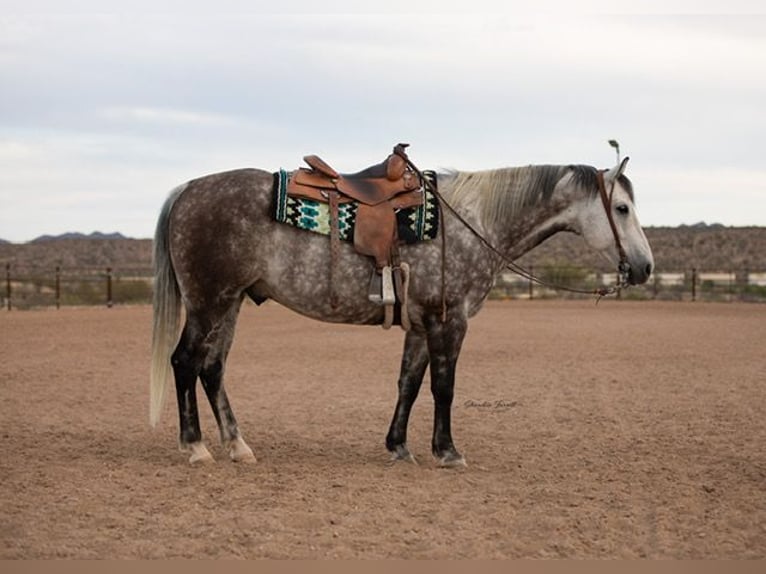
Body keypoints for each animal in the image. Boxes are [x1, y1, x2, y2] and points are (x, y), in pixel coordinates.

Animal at [149, 154, 654, 466]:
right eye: (622, 208)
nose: (645, 267)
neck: (472, 223)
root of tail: (187, 189)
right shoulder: (450, 321)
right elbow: (444, 387)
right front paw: (447, 451)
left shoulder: (421, 324)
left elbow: (409, 383)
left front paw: (398, 447)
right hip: (208, 303)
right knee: (185, 362)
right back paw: (195, 447)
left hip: (229, 304)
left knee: (212, 369)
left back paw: (238, 446)